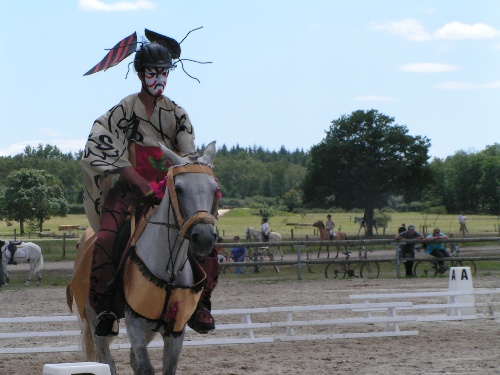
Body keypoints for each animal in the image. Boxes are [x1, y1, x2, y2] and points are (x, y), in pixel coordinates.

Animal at [65, 142, 218, 375]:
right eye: (179, 189)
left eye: (214, 188)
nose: (204, 237)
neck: (168, 267)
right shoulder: (135, 323)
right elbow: (145, 367)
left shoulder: (175, 329)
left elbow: (166, 368)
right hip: (94, 317)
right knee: (107, 360)